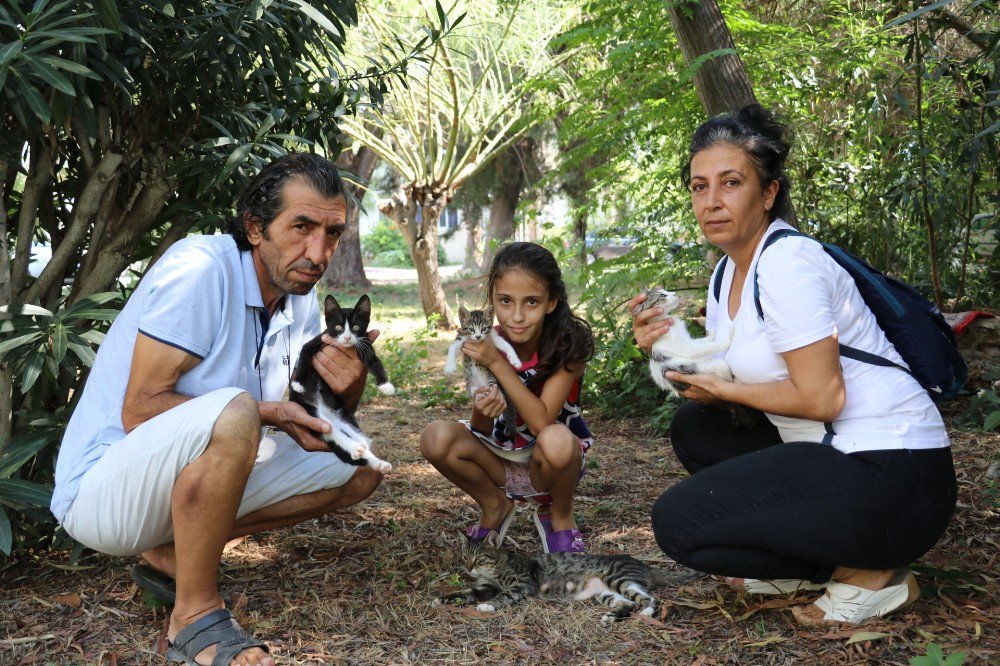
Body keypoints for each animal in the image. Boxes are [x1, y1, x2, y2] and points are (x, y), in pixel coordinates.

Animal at [290, 294, 390, 470]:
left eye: (356, 327)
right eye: (338, 328)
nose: (348, 337)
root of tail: (328, 415)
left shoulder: (364, 344)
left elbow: (375, 361)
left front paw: (386, 385)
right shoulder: (316, 341)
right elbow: (304, 356)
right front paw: (298, 383)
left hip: (345, 417)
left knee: (358, 437)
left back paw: (376, 461)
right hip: (313, 415)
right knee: (334, 435)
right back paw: (355, 449)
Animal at [446, 304, 524, 438]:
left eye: (483, 329)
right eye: (471, 329)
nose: (478, 336)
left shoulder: (492, 336)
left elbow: (506, 345)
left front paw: (515, 361)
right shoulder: (461, 337)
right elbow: (452, 348)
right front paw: (449, 367)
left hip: (491, 379)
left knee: (497, 392)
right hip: (470, 384)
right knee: (473, 391)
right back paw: (480, 395)